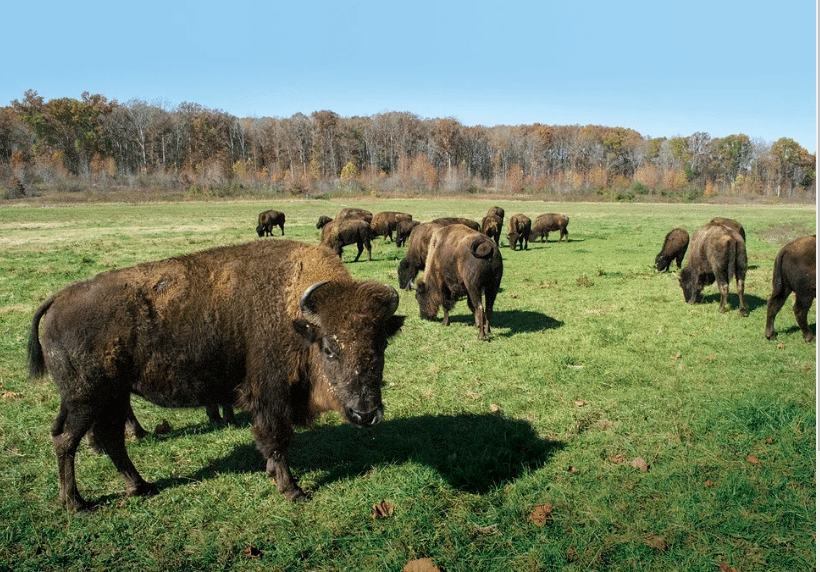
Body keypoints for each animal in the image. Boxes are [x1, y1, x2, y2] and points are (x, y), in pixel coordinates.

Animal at [28, 238, 404, 510]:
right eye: (329, 348)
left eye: (381, 345)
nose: (365, 413)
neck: (295, 317)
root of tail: (59, 298)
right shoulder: (270, 397)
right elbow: (276, 440)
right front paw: (292, 490)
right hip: (86, 399)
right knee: (66, 440)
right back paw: (76, 504)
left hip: (112, 397)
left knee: (111, 440)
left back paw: (141, 487)